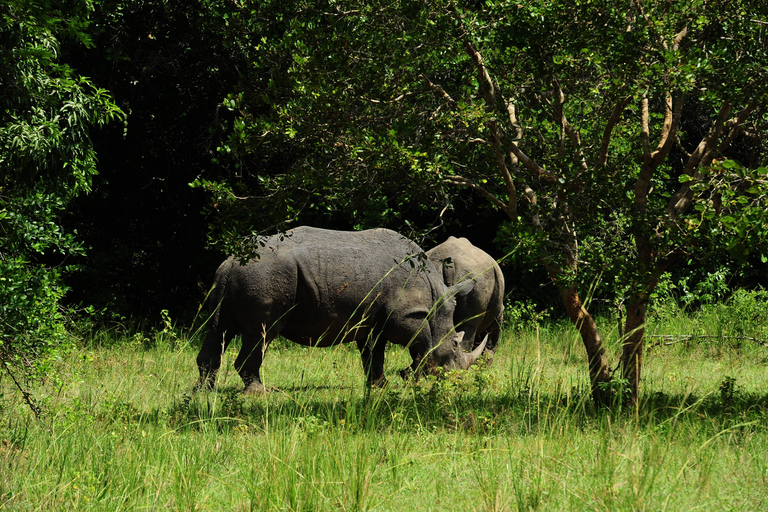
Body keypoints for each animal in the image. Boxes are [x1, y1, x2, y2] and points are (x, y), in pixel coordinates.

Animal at [195, 226, 487, 394]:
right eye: (453, 346)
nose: (456, 379)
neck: (436, 298)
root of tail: (231, 261)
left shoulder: (374, 321)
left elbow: (374, 354)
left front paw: (381, 386)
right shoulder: (407, 315)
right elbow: (422, 343)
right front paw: (419, 378)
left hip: (234, 277)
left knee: (218, 329)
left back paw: (203, 393)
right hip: (264, 275)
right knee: (261, 334)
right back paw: (261, 393)